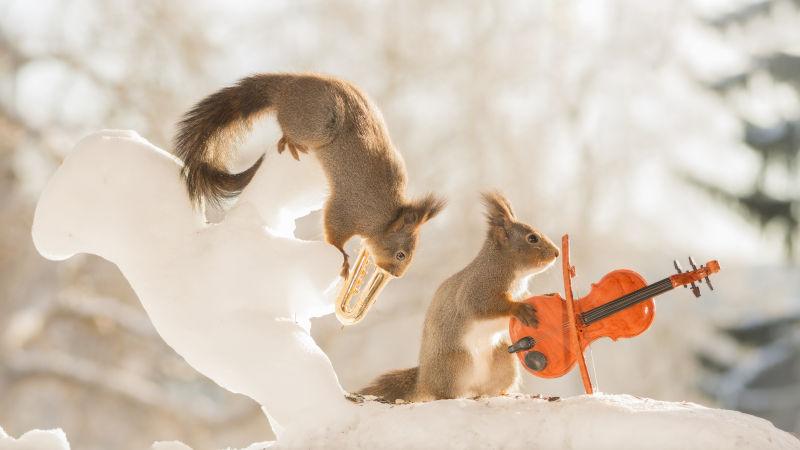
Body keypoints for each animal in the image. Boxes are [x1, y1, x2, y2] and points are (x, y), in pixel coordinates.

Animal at [173, 73, 444, 278]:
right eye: (401, 254)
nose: (395, 275)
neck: (385, 218)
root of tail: (288, 86)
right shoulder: (350, 209)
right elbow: (333, 231)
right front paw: (343, 258)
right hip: (317, 123)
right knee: (286, 123)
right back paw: (290, 141)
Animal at [360, 192, 560, 402]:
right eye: (532, 238)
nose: (556, 253)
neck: (512, 272)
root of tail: (423, 381)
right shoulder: (477, 289)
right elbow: (486, 306)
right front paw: (520, 309)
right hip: (456, 363)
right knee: (445, 393)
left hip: (503, 358)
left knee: (487, 388)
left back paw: (499, 392)